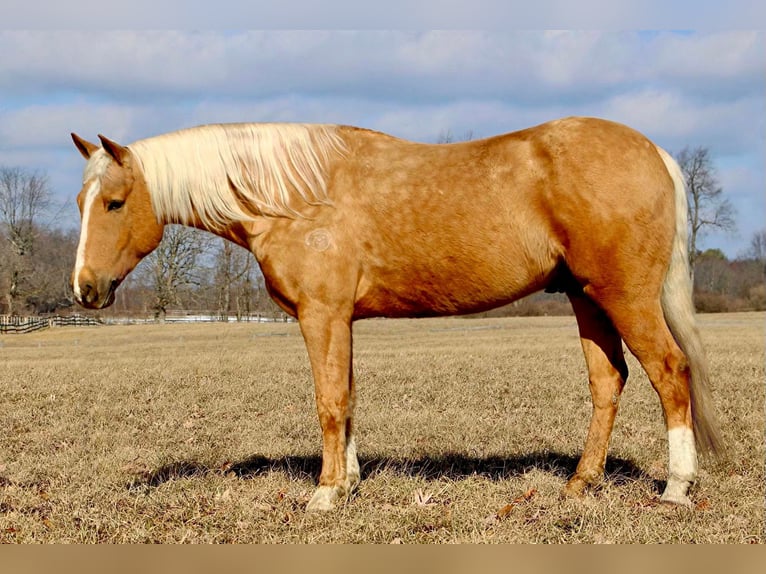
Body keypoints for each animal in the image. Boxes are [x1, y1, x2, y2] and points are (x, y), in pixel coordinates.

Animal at [69, 118, 724, 512]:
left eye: (115, 203)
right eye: (81, 201)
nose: (85, 289)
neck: (293, 196)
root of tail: (653, 151)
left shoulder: (321, 315)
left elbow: (329, 400)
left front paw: (325, 495)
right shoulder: (341, 320)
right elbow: (349, 397)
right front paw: (350, 480)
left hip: (624, 297)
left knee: (670, 372)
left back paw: (676, 488)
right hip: (586, 297)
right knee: (608, 380)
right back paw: (581, 483)